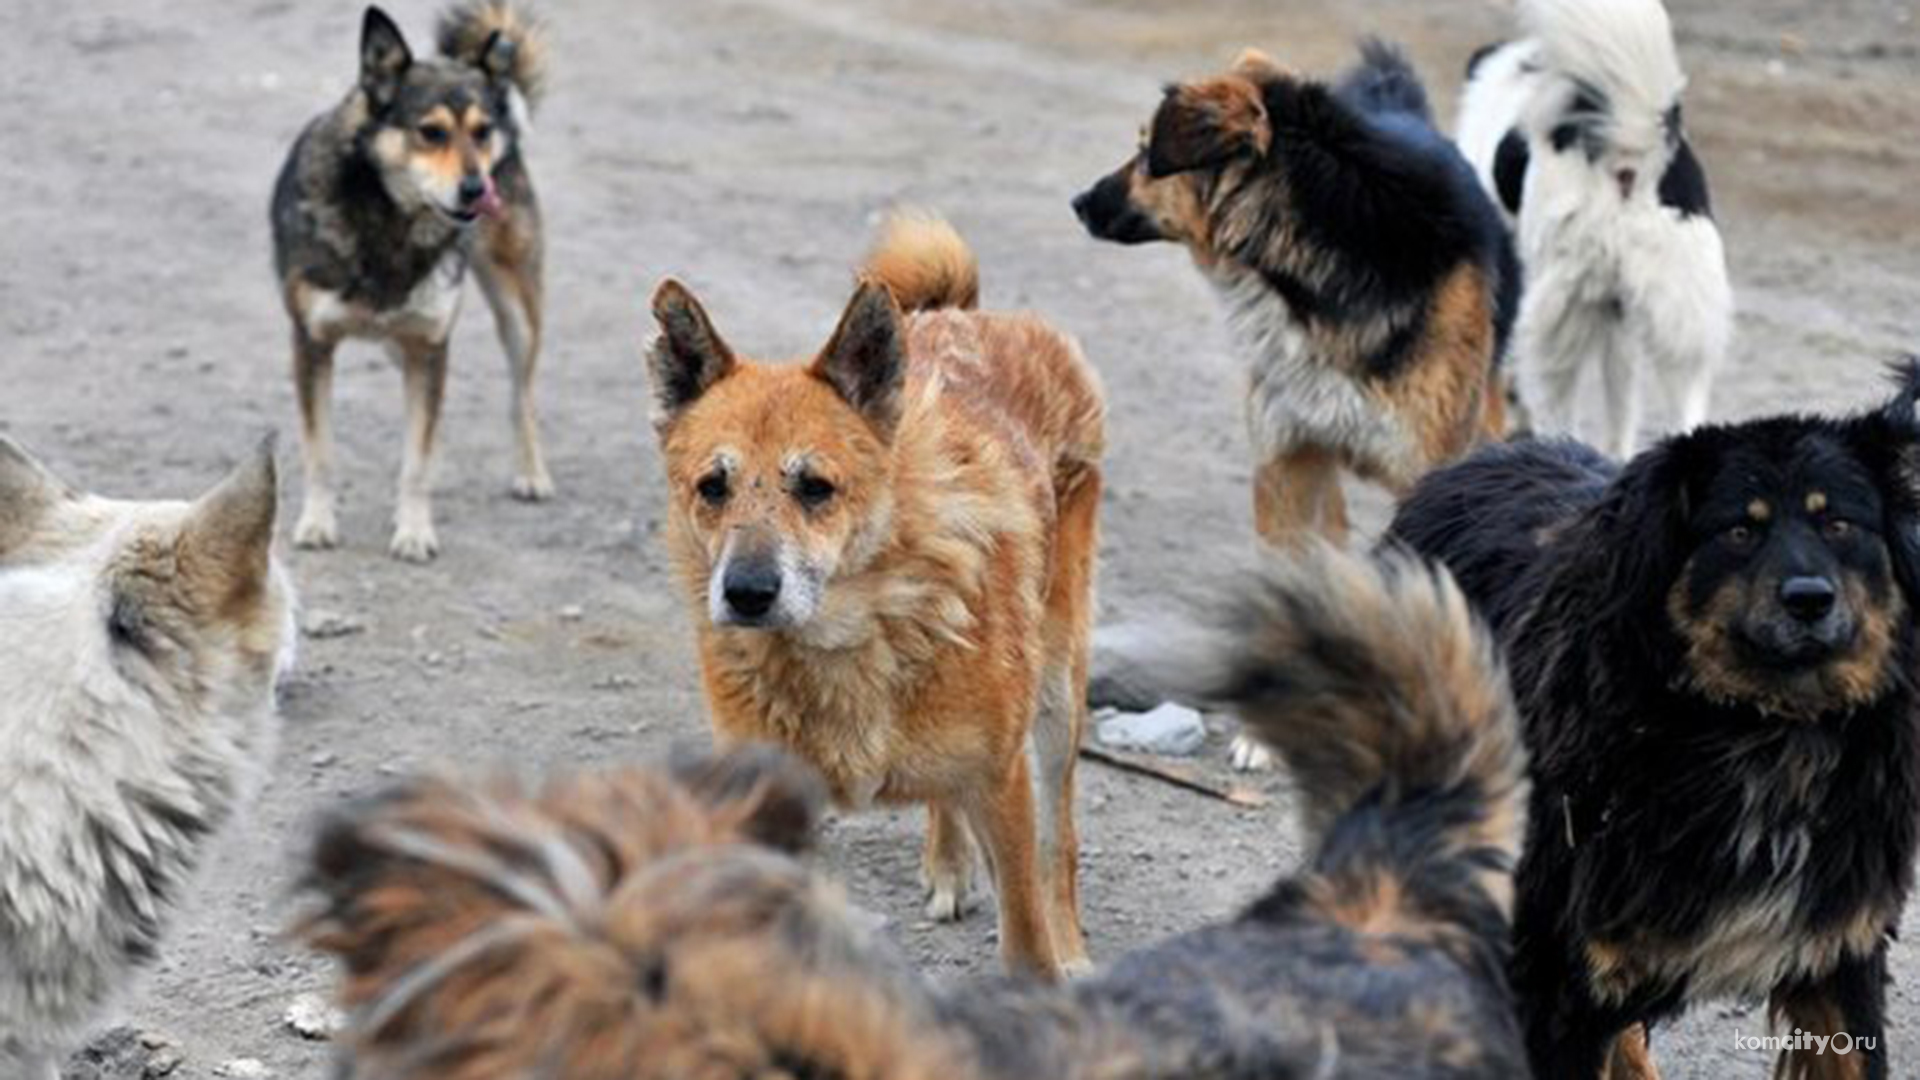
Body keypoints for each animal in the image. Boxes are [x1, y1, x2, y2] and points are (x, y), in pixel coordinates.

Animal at [1390, 363, 1920, 1076]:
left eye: (1837, 522)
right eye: (1740, 531)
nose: (1810, 600)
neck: (1764, 732)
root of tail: (1470, 464)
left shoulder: (1838, 948)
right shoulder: (1565, 975)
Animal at [1451, 0, 1743, 455]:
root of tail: (1629, 156)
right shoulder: (1617, 313)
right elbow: (1621, 402)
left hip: (1556, 322)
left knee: (1557, 412)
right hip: (1682, 317)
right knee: (1684, 412)